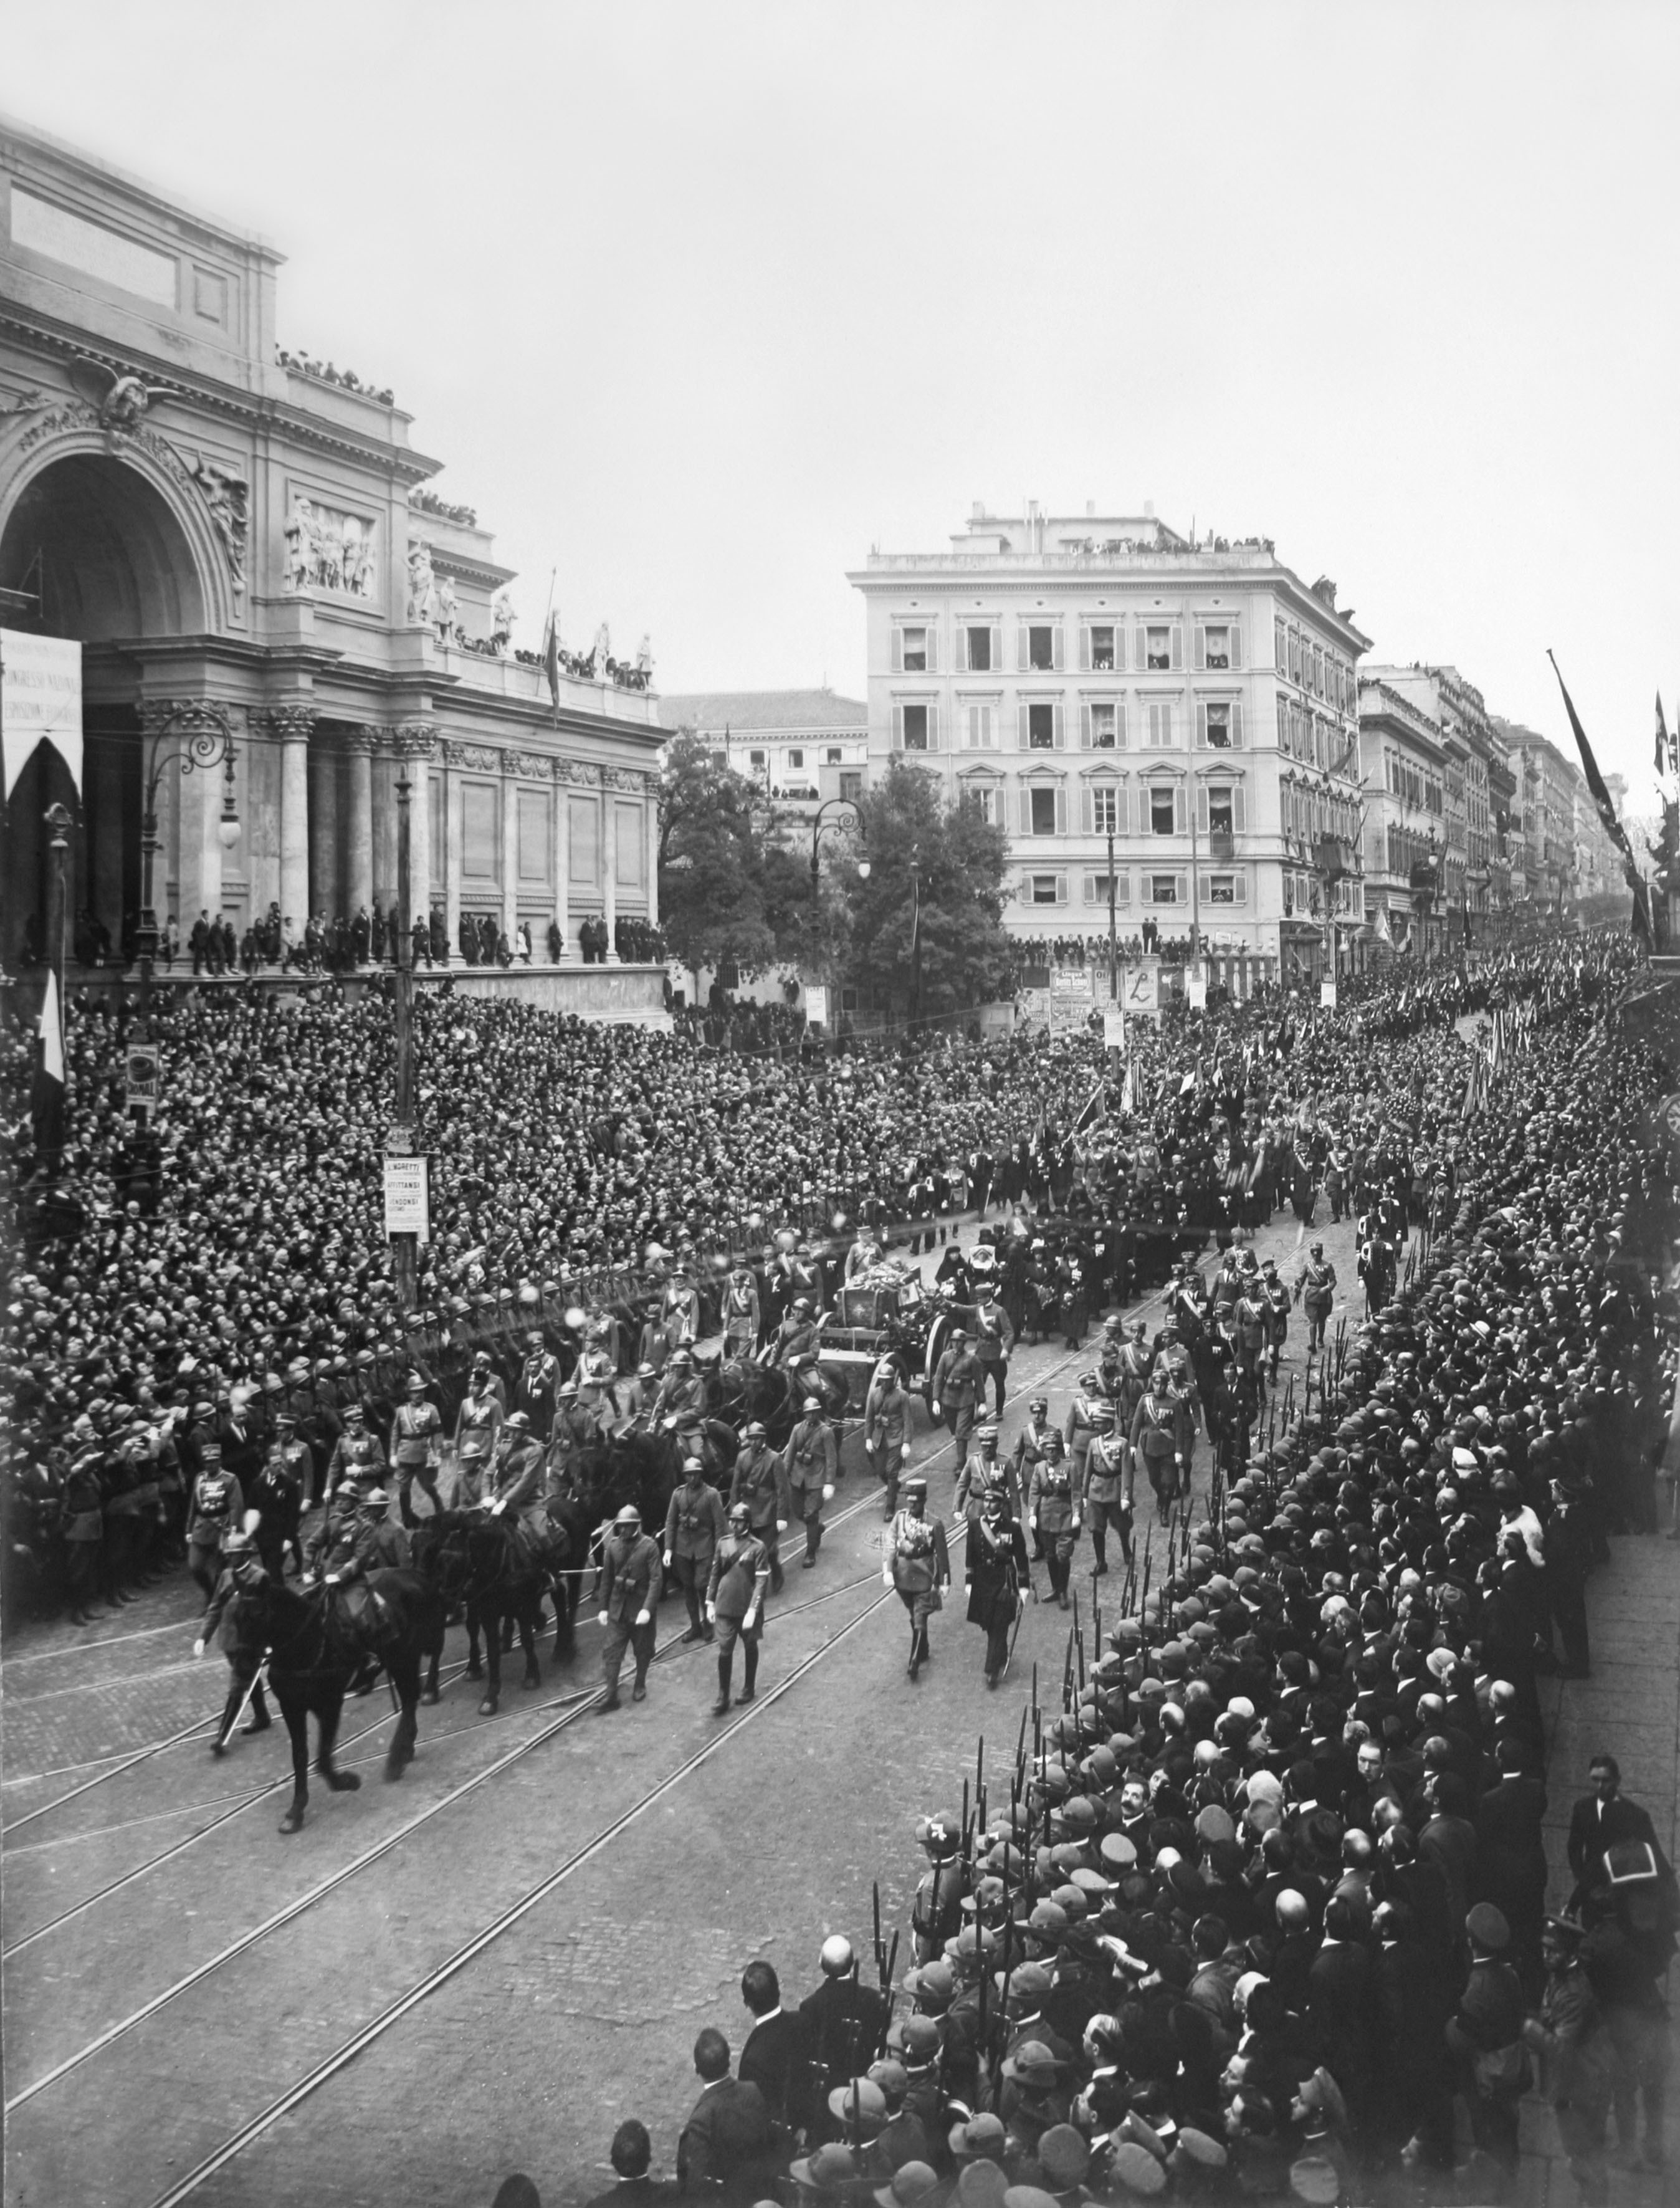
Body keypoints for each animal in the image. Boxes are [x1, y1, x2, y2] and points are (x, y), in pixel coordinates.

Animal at [246, 1580, 446, 1837]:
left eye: (258, 1613)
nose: (242, 1663)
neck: (307, 1647)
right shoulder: (292, 1707)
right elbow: (300, 1757)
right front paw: (295, 1812)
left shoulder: (330, 1703)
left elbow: (323, 1757)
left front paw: (347, 1782)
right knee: (409, 1701)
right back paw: (404, 1751)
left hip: (405, 1658)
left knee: (414, 1694)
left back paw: (396, 1759)